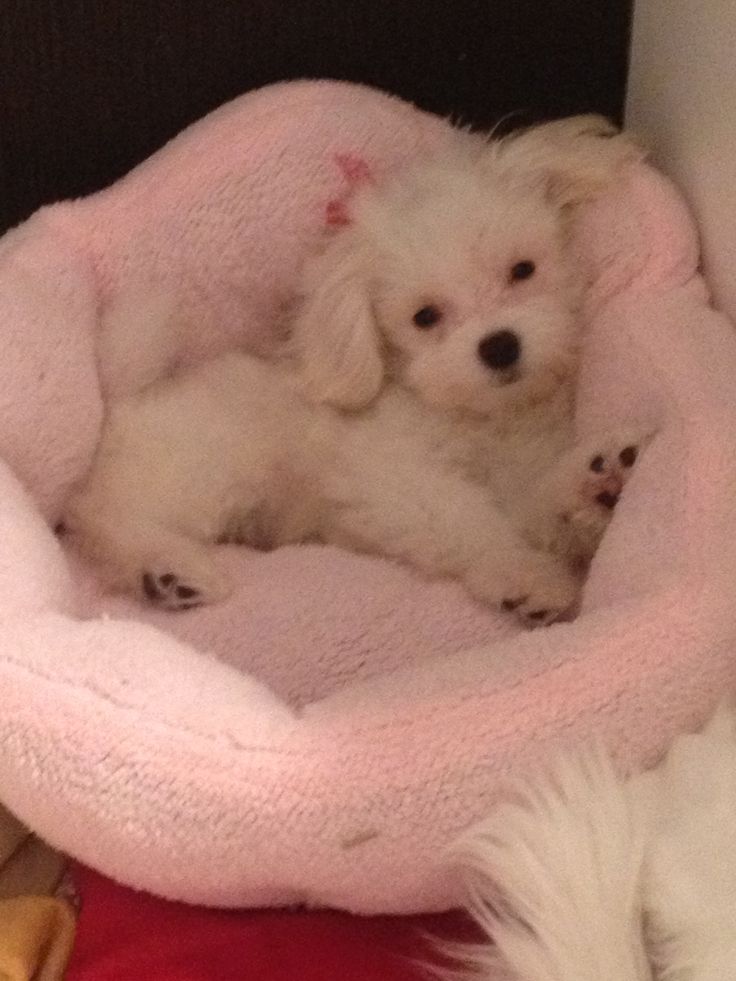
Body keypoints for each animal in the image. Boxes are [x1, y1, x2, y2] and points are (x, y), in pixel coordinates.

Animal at [66, 115, 648, 624]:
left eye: (523, 270)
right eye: (425, 316)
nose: (500, 346)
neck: (483, 419)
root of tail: (124, 401)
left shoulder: (523, 469)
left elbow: (538, 505)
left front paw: (597, 486)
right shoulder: (390, 480)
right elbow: (470, 521)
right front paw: (525, 574)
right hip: (207, 470)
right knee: (104, 519)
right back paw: (167, 569)